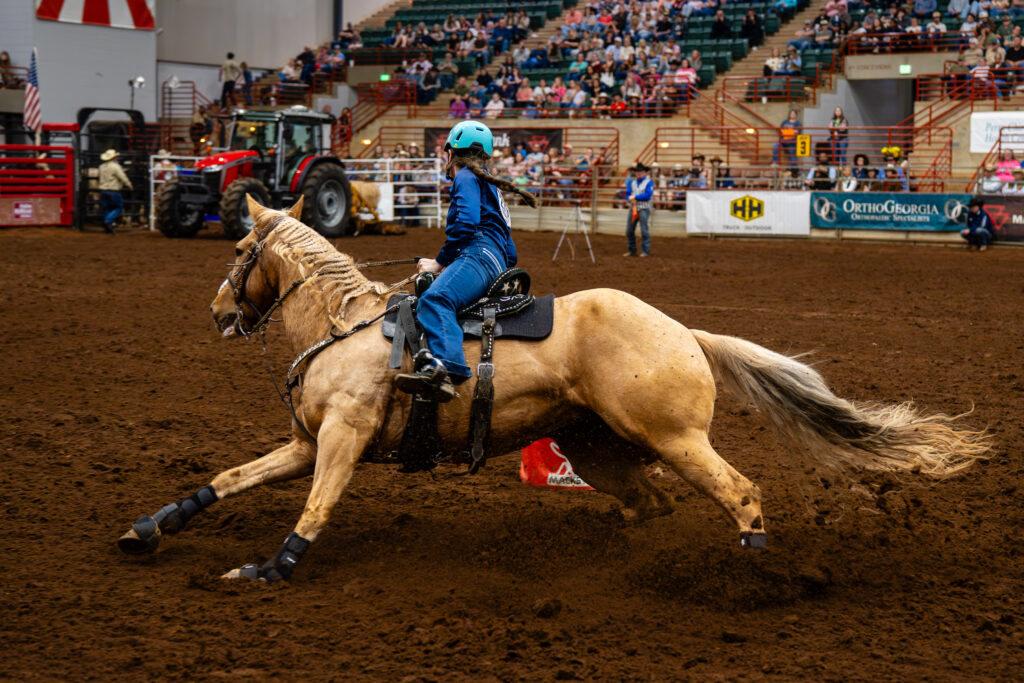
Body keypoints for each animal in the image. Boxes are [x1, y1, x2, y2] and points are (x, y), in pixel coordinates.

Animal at [117, 196, 991, 581]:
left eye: (238, 247)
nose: (219, 310)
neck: (348, 326)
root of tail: (686, 330)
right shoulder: (304, 440)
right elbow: (230, 477)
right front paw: (149, 527)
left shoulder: (342, 439)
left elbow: (316, 506)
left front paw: (273, 567)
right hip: (595, 445)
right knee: (651, 504)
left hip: (675, 437)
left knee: (740, 491)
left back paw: (753, 574)